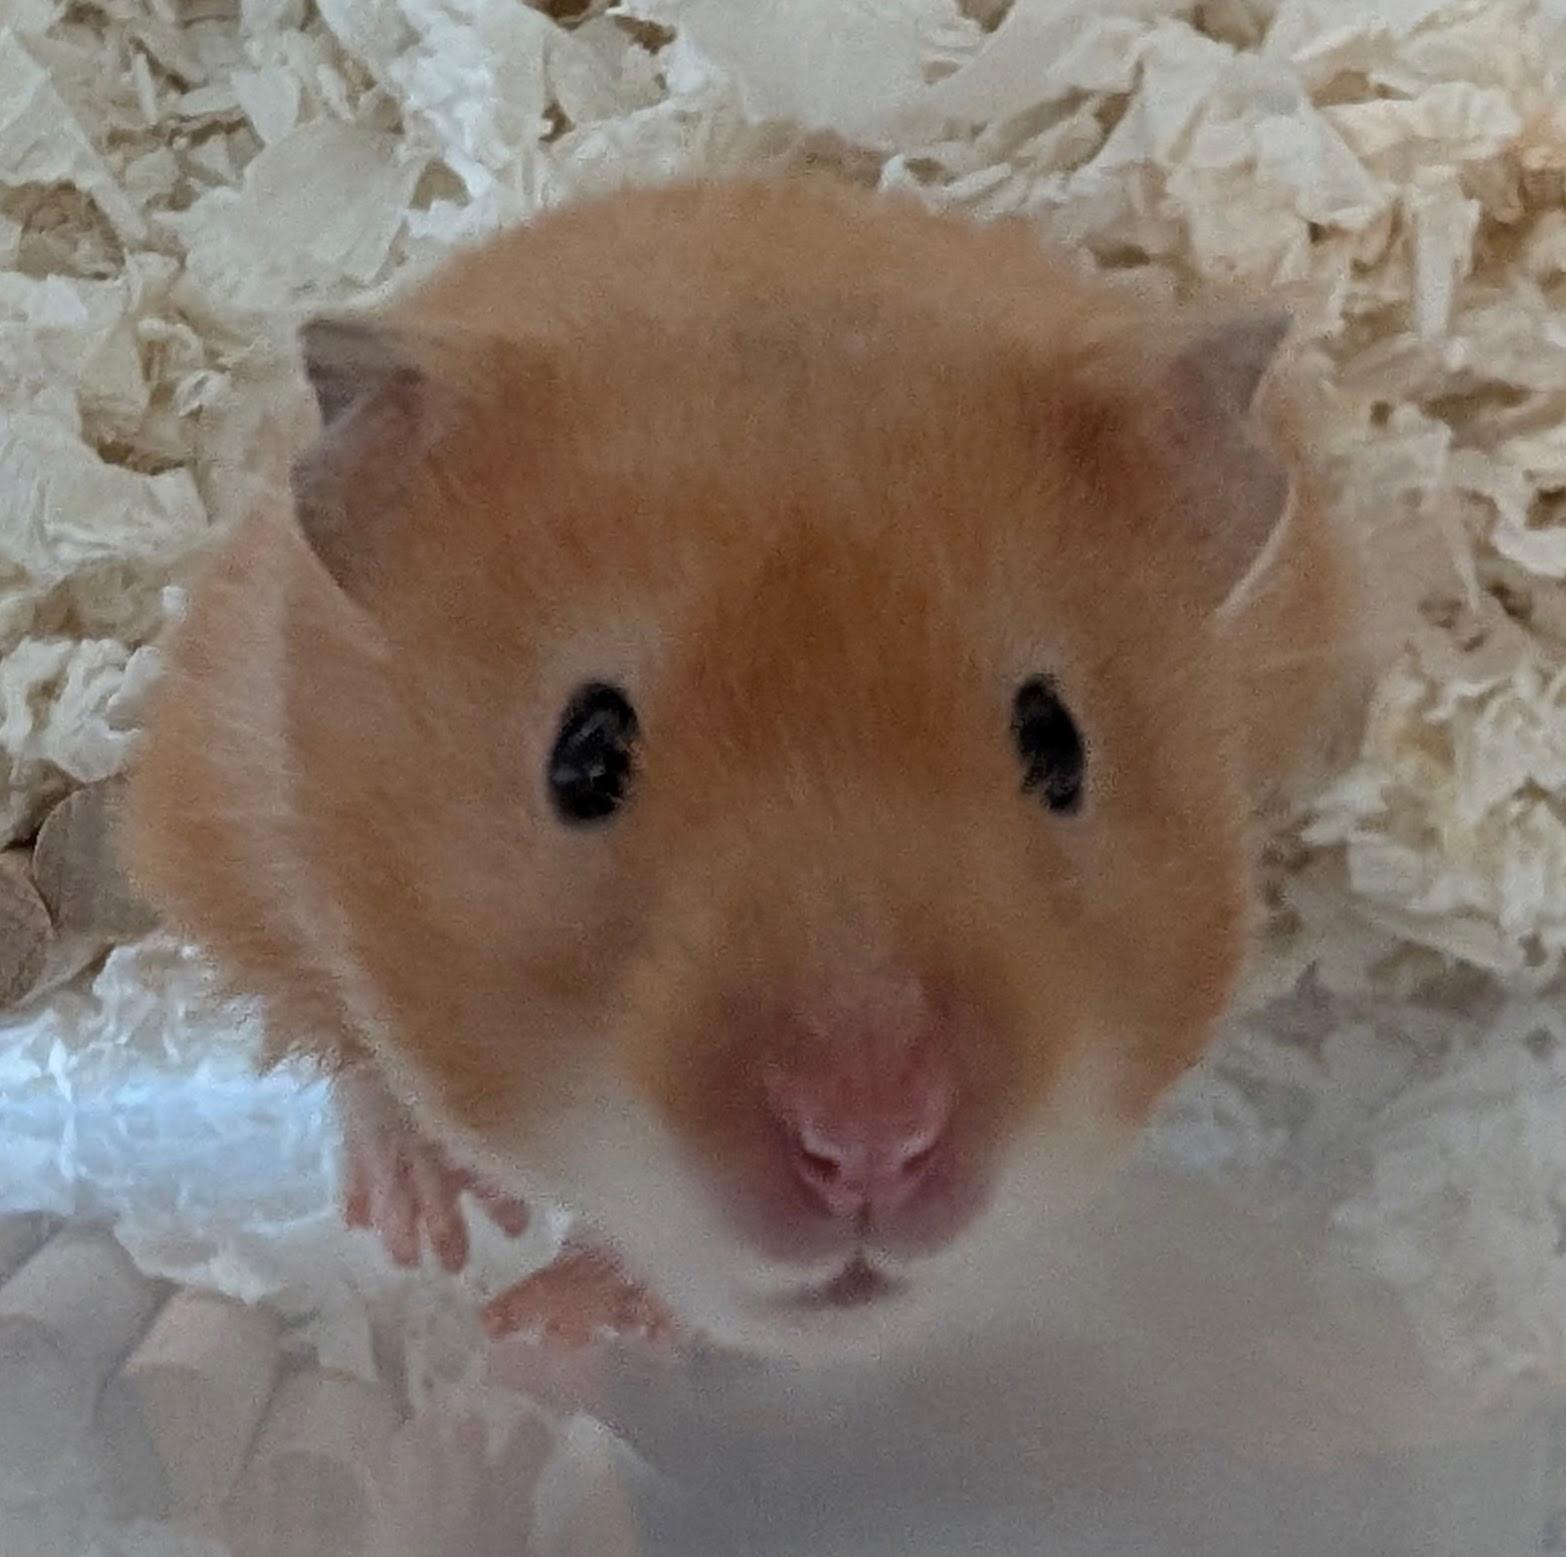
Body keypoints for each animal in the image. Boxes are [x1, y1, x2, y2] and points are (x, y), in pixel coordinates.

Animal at [124, 177, 1364, 1359]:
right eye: (582, 756)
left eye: (1059, 743)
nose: (868, 1141)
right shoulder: (233, 809)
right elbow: (356, 1051)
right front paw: (453, 1253)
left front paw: (546, 1321)